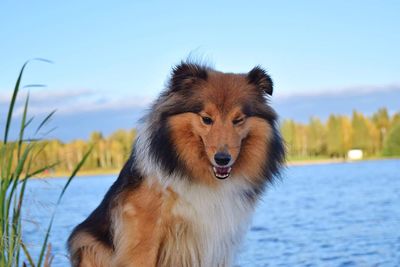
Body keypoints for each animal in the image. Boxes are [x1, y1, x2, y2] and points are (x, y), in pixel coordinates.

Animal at [69, 61, 288, 266]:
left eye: (238, 120)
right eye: (206, 119)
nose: (222, 159)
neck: (204, 177)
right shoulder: (143, 231)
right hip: (88, 243)